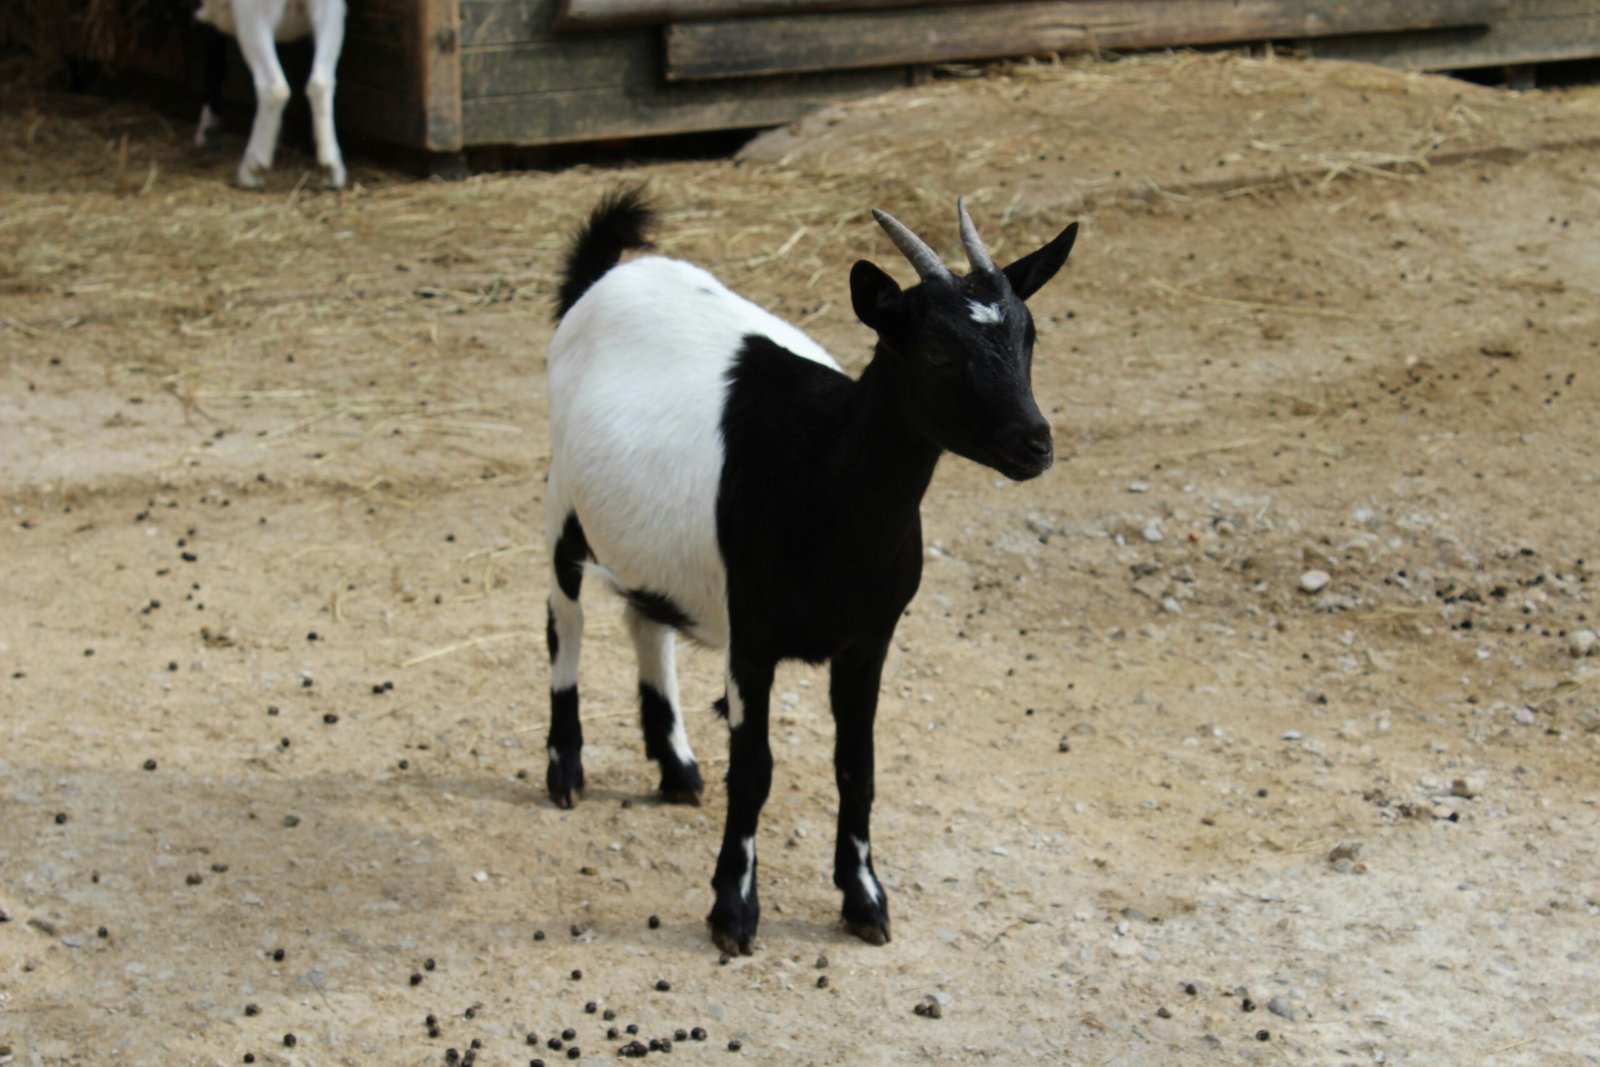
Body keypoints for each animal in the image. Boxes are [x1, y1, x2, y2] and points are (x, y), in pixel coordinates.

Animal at [192, 0, 345, 189]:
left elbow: (214, 64)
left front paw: (207, 129)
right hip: (332, 11)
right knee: (321, 82)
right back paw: (331, 166)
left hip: (253, 14)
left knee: (273, 86)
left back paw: (253, 167)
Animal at [544, 187, 1081, 953]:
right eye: (937, 352)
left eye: (1028, 335)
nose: (1035, 443)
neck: (821, 476)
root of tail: (604, 278)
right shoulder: (752, 638)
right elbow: (754, 771)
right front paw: (733, 910)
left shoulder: (869, 641)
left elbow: (857, 765)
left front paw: (864, 898)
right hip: (562, 497)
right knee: (566, 620)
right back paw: (565, 769)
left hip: (650, 538)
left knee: (645, 619)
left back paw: (676, 767)